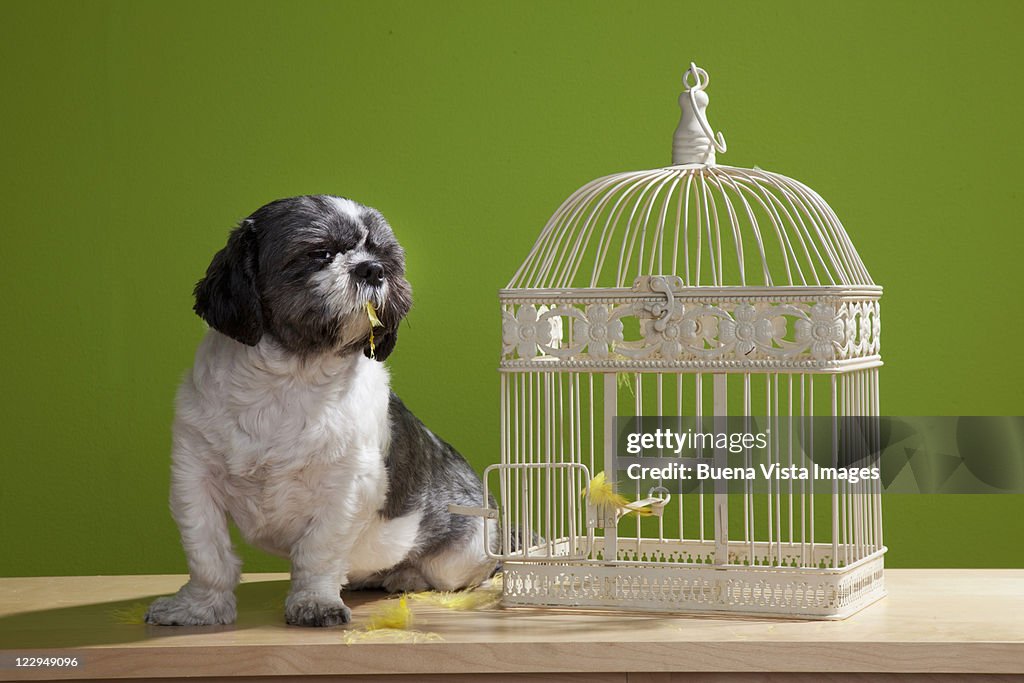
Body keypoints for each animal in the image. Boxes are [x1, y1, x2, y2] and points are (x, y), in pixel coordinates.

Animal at [144, 194, 495, 626]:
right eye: (320, 253)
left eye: (385, 257)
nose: (372, 268)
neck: (287, 380)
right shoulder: (194, 475)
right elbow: (207, 552)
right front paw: (199, 607)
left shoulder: (344, 488)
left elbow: (319, 551)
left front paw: (314, 602)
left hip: (460, 556)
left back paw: (406, 575)